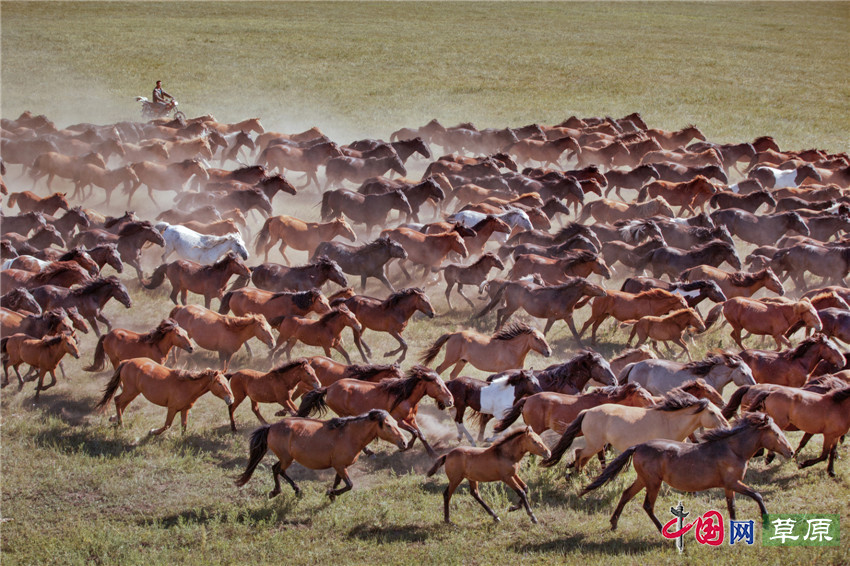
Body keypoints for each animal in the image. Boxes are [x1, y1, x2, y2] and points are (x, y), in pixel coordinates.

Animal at [232, 410, 404, 504]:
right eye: (388, 425)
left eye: (396, 423)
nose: (404, 442)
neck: (349, 435)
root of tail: (271, 427)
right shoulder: (340, 466)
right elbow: (349, 485)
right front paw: (330, 493)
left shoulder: (340, 466)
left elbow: (338, 482)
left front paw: (332, 495)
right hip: (286, 458)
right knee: (277, 470)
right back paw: (281, 491)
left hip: (286, 458)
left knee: (277, 469)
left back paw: (290, 490)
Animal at [580, 412, 792, 532]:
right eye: (775, 433)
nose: (790, 451)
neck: (734, 449)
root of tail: (638, 446)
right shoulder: (734, 483)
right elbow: (757, 495)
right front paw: (766, 522)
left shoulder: (728, 486)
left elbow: (731, 507)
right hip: (653, 482)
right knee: (648, 506)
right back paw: (664, 530)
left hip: (643, 479)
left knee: (626, 495)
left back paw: (614, 524)